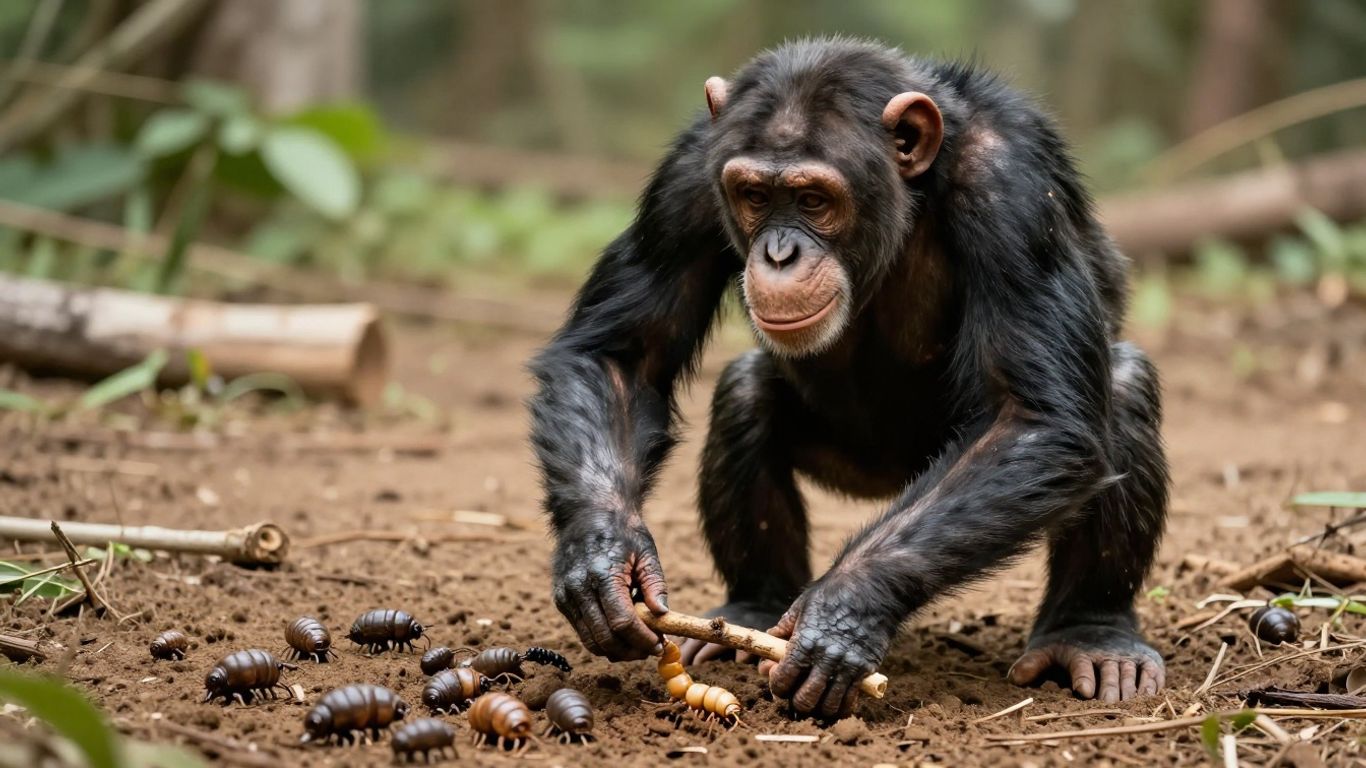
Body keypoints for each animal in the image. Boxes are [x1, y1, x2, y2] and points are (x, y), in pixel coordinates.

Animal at [528, 37, 1168, 718]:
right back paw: (748, 613)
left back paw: (1091, 634)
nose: (780, 253)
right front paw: (601, 557)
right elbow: (622, 355)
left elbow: (1032, 416)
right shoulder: (686, 178)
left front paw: (841, 613)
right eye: (754, 196)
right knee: (744, 392)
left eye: (813, 199)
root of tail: (890, 477)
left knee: (1123, 386)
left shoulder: (1014, 188)